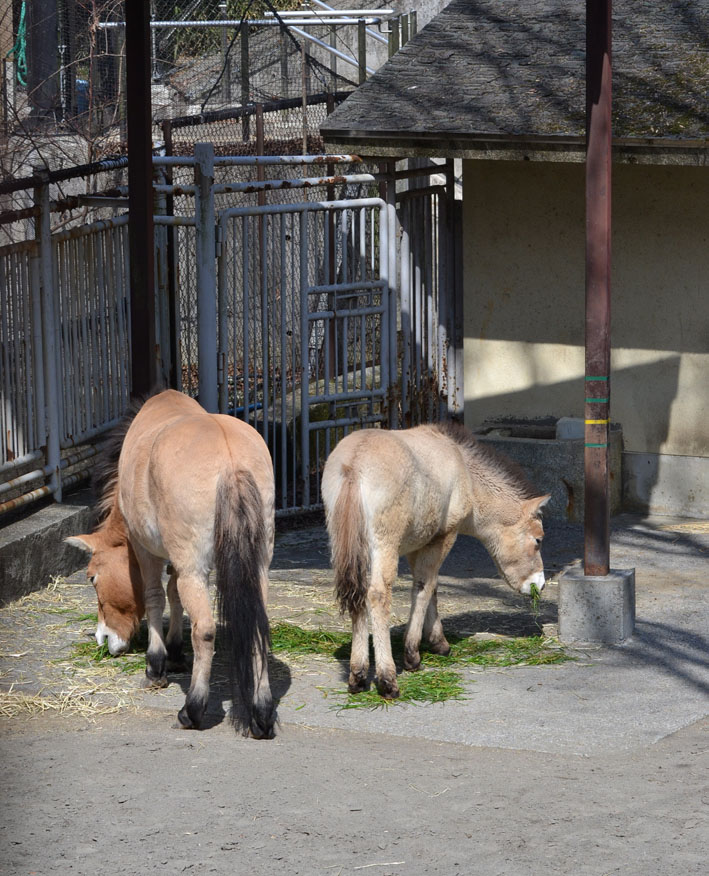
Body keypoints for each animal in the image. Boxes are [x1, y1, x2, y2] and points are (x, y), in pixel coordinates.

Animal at [66, 390, 276, 740]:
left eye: (92, 578)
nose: (103, 638)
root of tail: (231, 460)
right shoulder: (178, 560)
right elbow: (174, 595)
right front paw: (176, 651)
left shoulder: (144, 548)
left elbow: (154, 597)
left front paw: (157, 665)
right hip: (256, 570)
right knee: (257, 626)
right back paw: (261, 715)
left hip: (195, 570)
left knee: (205, 631)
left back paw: (192, 710)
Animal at [324, 420, 552, 700]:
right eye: (538, 540)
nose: (539, 584)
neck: (464, 470)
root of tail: (354, 465)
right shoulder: (442, 537)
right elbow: (426, 587)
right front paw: (413, 655)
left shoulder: (418, 545)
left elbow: (427, 586)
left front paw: (437, 642)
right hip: (383, 545)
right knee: (377, 595)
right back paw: (388, 680)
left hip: (349, 549)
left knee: (357, 596)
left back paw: (357, 675)